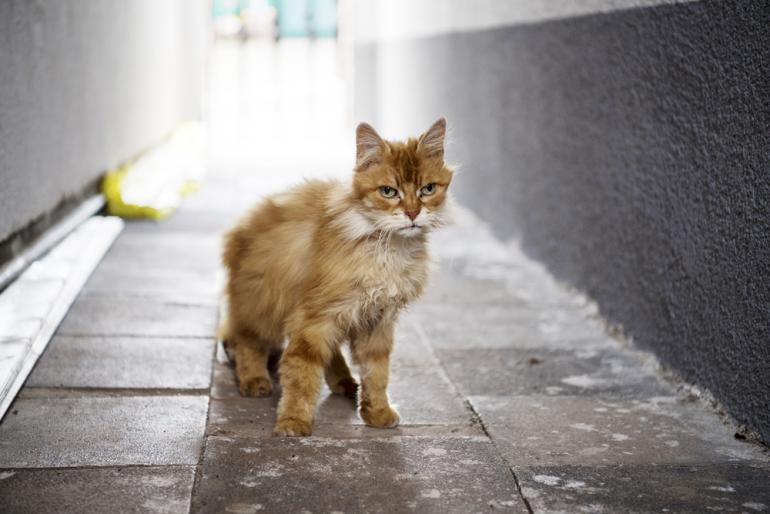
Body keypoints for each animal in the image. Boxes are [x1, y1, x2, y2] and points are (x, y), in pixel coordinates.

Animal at [219, 118, 452, 434]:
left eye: (427, 189)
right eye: (388, 192)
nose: (413, 214)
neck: (388, 251)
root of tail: (242, 226)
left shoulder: (376, 321)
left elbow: (377, 374)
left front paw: (377, 413)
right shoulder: (315, 317)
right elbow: (302, 373)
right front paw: (293, 421)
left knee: (330, 354)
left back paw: (345, 383)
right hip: (261, 304)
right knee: (245, 339)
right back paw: (254, 380)